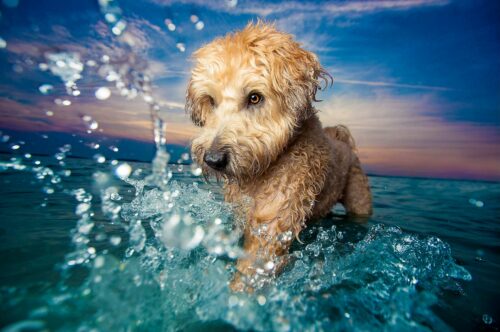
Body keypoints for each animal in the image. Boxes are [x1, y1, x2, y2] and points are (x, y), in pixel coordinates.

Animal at [187, 21, 372, 290]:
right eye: (211, 100)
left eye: (254, 97)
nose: (213, 160)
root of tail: (342, 140)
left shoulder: (274, 222)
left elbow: (255, 264)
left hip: (359, 197)